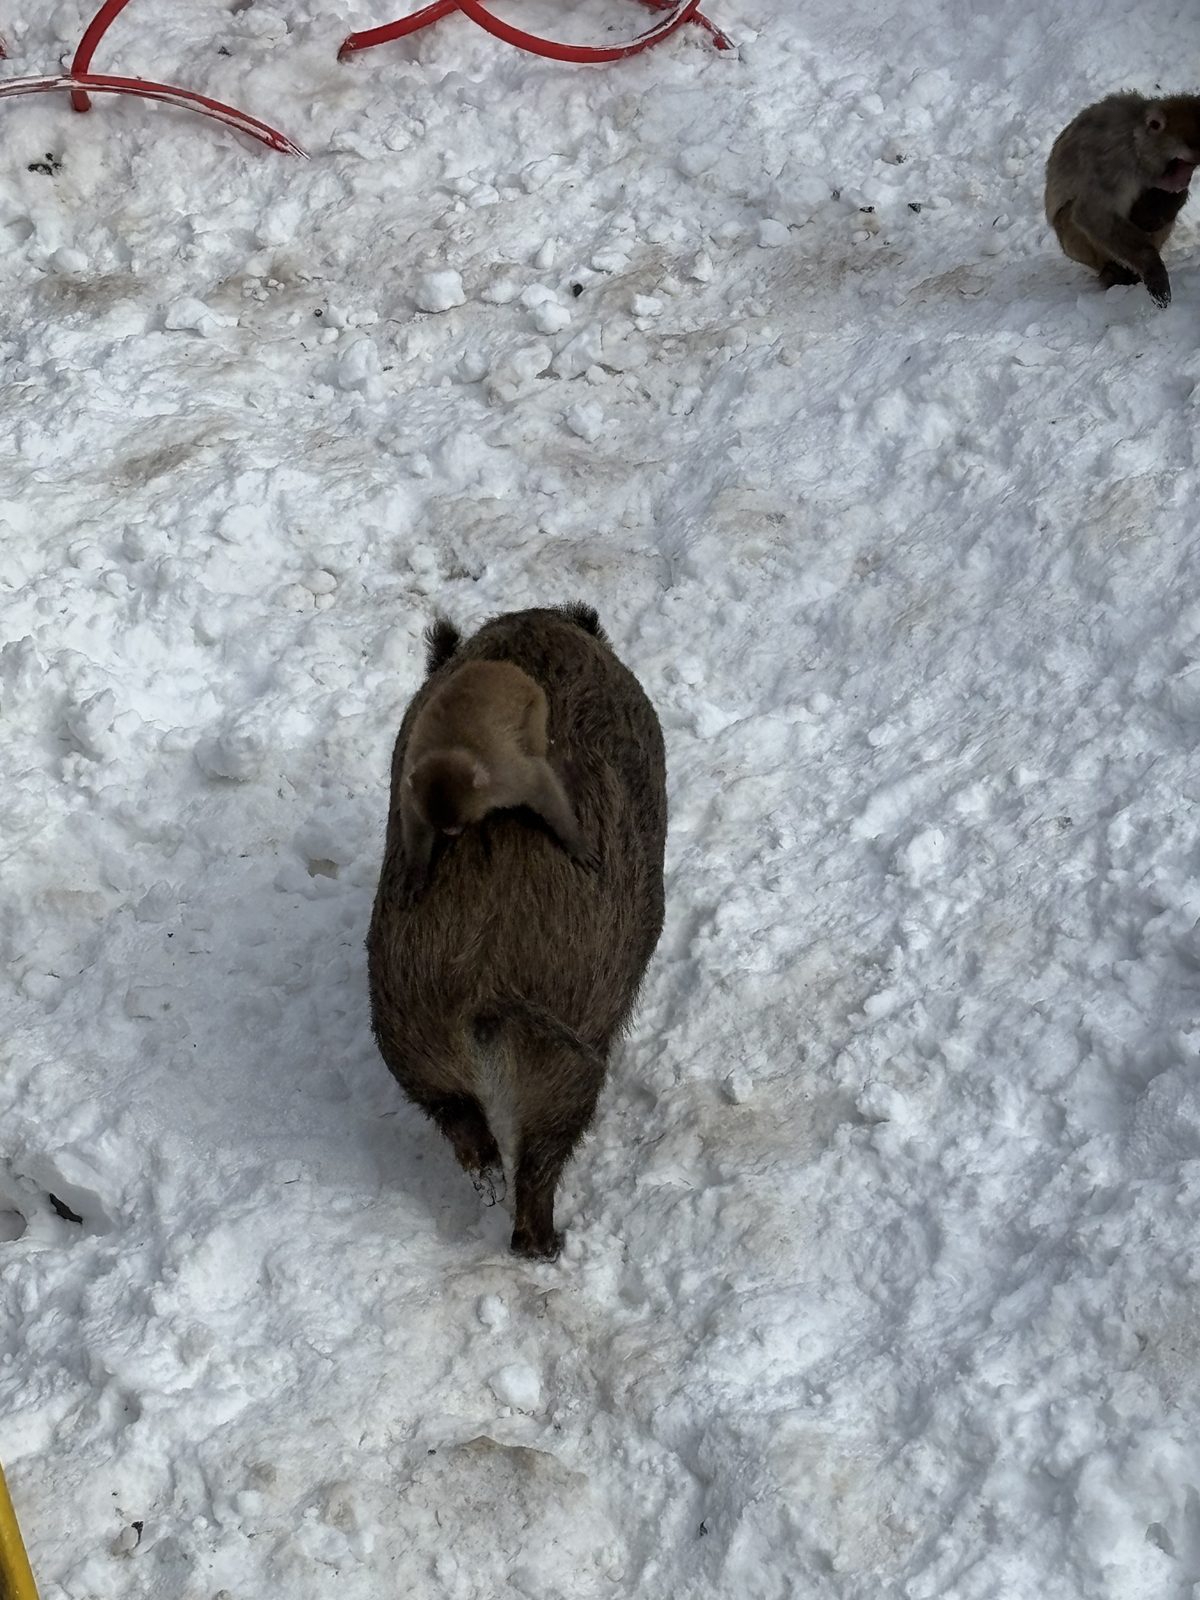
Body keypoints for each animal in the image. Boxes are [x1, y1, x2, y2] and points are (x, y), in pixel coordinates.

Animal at [397, 656, 598, 900]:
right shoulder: (411, 785)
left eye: (457, 824)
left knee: (533, 746)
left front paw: (575, 841)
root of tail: (502, 665)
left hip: (535, 705)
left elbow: (538, 782)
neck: (448, 749)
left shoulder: (502, 780)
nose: (451, 832)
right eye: (444, 826)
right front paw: (416, 872)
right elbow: (415, 823)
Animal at [1045, 92, 1200, 306]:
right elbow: (1093, 214)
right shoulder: (1113, 163)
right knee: (1071, 213)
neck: (1135, 141)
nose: (1185, 179)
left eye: (1192, 166)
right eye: (1182, 163)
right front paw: (1153, 268)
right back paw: (1113, 272)